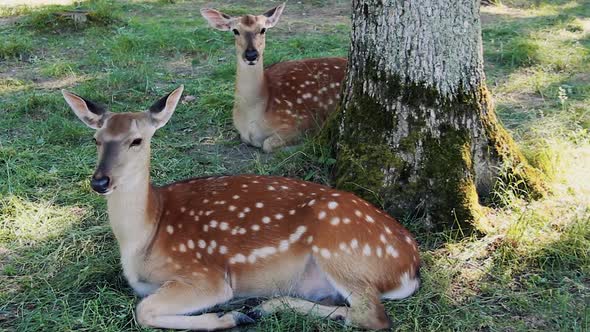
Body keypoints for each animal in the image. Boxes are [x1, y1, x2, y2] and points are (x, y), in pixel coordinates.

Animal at [62, 85, 424, 330]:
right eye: (96, 140)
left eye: (137, 140)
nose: (100, 181)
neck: (144, 237)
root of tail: (411, 266)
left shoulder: (206, 275)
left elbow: (144, 311)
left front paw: (227, 316)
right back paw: (262, 307)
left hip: (339, 246)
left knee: (373, 316)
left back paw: (253, 310)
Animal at [201, 2, 350, 153]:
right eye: (235, 31)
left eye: (263, 29)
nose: (251, 55)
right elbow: (246, 139)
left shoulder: (303, 122)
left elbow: (267, 145)